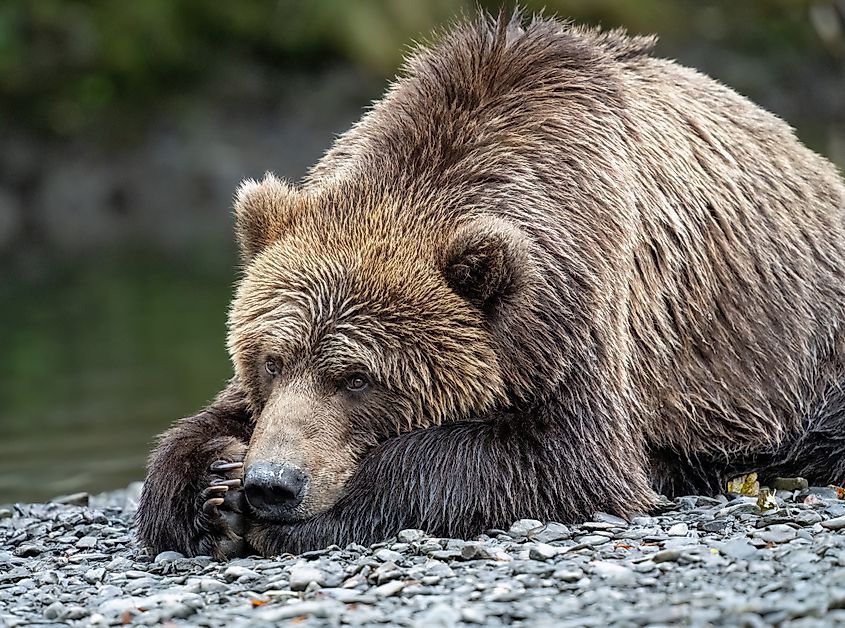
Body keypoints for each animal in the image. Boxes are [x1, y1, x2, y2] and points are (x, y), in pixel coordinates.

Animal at [136, 12, 845, 559]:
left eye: (358, 377)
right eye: (272, 360)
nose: (271, 483)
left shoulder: (583, 306)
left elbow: (564, 459)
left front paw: (306, 515)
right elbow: (207, 424)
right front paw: (208, 488)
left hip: (807, 351)